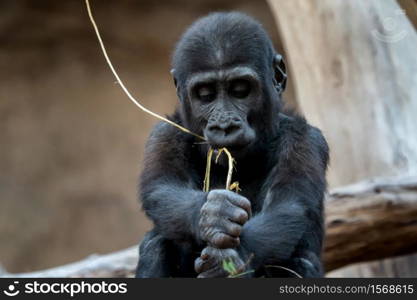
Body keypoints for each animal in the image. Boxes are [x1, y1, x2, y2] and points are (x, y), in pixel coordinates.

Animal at [135, 12, 326, 278]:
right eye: (205, 94)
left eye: (240, 90)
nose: (224, 125)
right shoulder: (164, 134)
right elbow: (163, 189)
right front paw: (213, 215)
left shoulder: (304, 139)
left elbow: (286, 206)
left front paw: (231, 261)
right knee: (156, 243)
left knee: (300, 263)